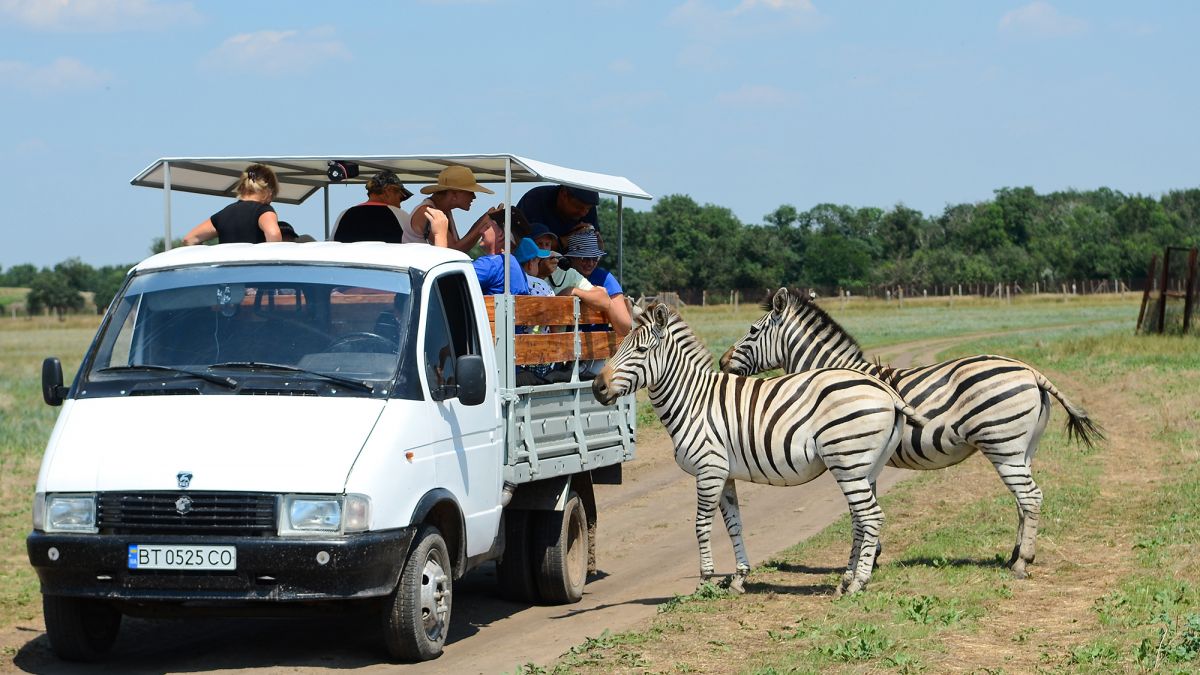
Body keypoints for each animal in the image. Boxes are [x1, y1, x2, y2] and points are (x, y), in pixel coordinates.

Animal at [590, 302, 926, 590]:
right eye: (619, 345)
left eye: (641, 350)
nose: (597, 387)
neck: (693, 400)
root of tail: (885, 390)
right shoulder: (725, 474)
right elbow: (734, 525)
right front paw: (739, 577)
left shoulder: (709, 469)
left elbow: (701, 525)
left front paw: (705, 579)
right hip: (865, 466)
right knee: (860, 518)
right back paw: (846, 579)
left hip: (847, 461)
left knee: (871, 516)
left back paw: (858, 582)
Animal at [715, 285, 1099, 576]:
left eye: (752, 330)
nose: (722, 361)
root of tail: (1031, 371)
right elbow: (863, 506)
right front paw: (871, 556)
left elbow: (859, 509)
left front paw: (868, 558)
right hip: (1023, 448)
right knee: (1024, 501)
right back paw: (1014, 555)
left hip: (1002, 444)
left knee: (1030, 497)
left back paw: (1022, 563)